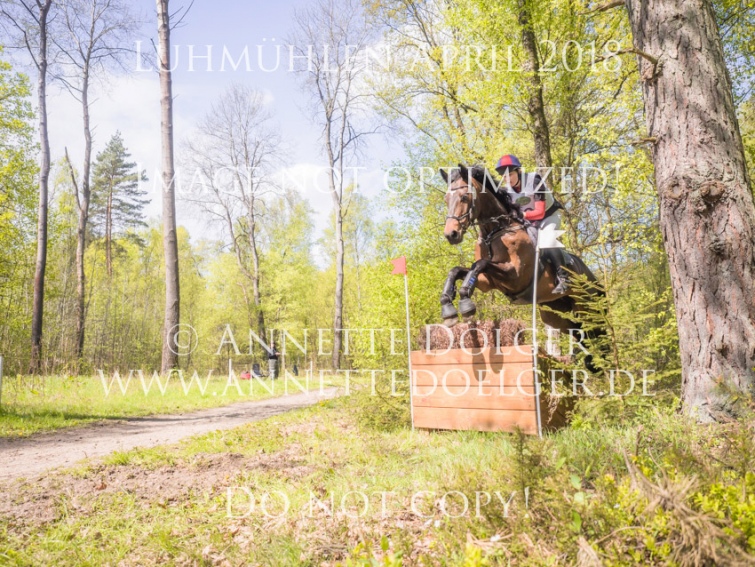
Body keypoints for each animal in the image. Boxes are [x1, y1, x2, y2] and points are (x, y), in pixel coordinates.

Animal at [439, 164, 606, 370]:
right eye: (446, 199)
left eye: (464, 197)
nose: (451, 234)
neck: (495, 232)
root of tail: (592, 277)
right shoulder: (487, 282)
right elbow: (457, 270)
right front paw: (448, 307)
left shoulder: (515, 277)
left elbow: (479, 264)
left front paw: (465, 305)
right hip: (558, 315)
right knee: (582, 334)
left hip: (587, 308)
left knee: (598, 333)